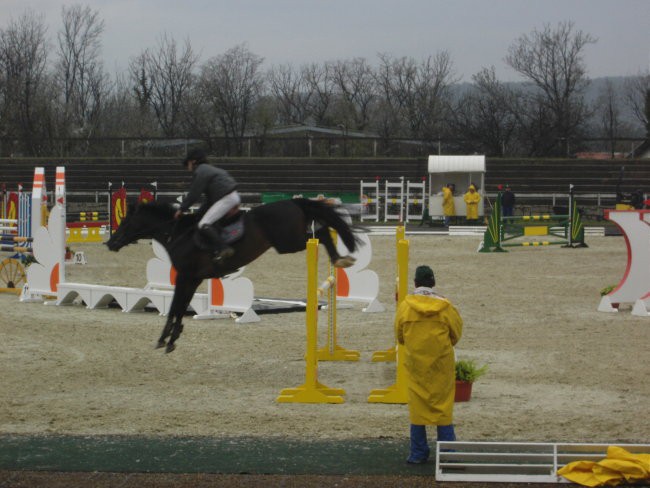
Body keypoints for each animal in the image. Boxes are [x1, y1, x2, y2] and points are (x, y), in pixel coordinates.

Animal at [107, 196, 360, 352]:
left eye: (126, 221)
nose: (110, 243)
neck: (177, 233)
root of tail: (292, 201)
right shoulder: (193, 279)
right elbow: (180, 306)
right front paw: (173, 337)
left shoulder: (185, 276)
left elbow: (175, 306)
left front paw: (163, 339)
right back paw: (341, 258)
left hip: (289, 241)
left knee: (323, 232)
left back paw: (341, 258)